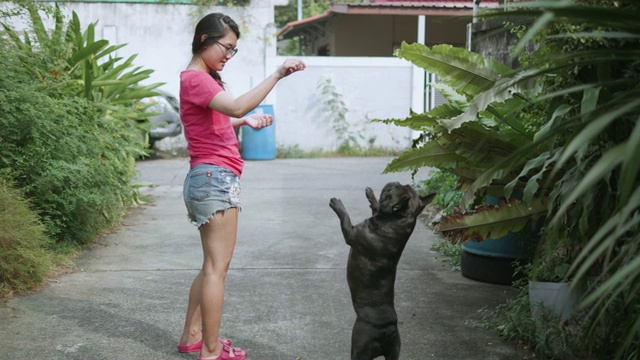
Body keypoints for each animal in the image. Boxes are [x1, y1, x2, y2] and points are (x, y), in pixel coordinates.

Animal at [330, 183, 436, 360]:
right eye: (402, 186)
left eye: (390, 192)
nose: (396, 182)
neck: (397, 219)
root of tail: (389, 329)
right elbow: (376, 207)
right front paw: (370, 195)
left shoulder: (351, 233)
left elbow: (345, 217)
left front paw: (338, 205)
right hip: (394, 351)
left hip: (359, 348)